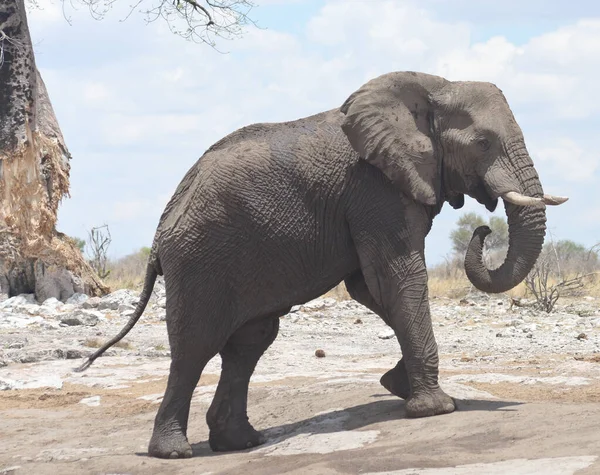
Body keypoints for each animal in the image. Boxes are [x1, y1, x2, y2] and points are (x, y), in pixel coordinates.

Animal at [77, 71, 568, 462]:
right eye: (483, 143)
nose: (483, 228)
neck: (432, 87)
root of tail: (162, 230)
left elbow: (371, 287)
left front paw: (395, 385)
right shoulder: (375, 188)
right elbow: (397, 277)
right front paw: (434, 408)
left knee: (249, 343)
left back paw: (241, 443)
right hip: (198, 260)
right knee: (196, 346)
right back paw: (174, 452)